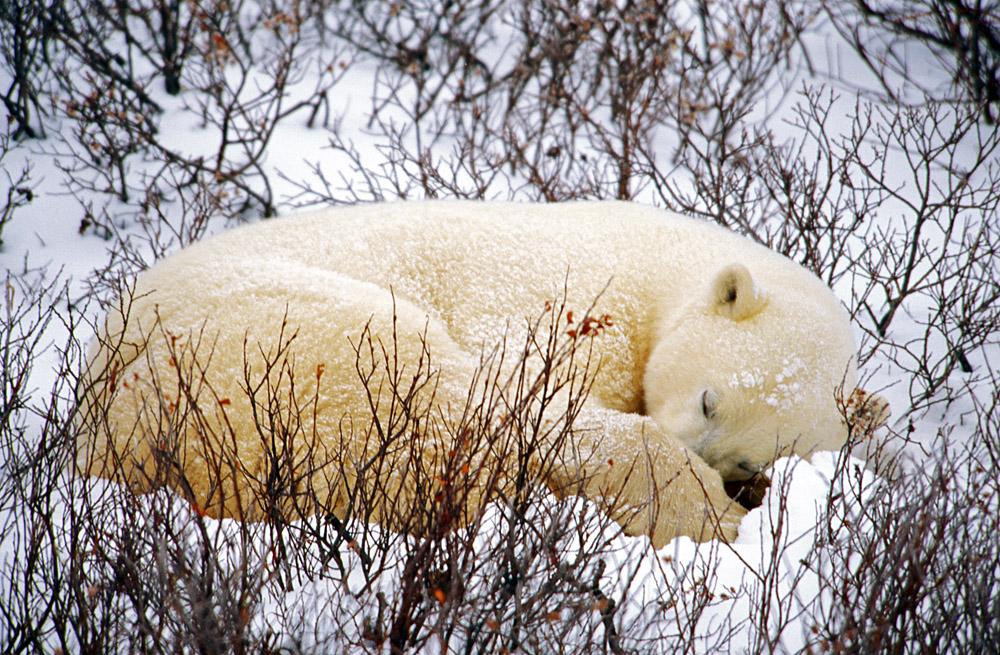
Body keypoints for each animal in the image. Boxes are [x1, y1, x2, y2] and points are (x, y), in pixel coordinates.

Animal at [80, 201, 892, 548]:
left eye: (758, 455)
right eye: (707, 397)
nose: (732, 478)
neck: (656, 264)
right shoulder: (564, 300)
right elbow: (535, 405)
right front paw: (699, 508)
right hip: (277, 349)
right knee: (446, 408)